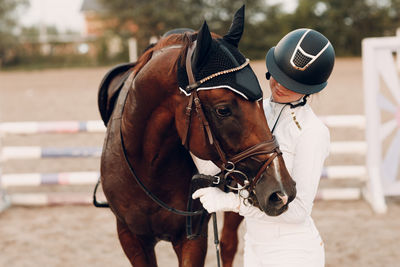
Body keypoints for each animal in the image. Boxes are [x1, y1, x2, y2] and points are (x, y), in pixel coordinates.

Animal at [98, 6, 296, 267]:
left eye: (261, 101)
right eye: (223, 110)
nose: (282, 191)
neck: (149, 166)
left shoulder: (192, 238)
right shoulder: (131, 238)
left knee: (228, 244)